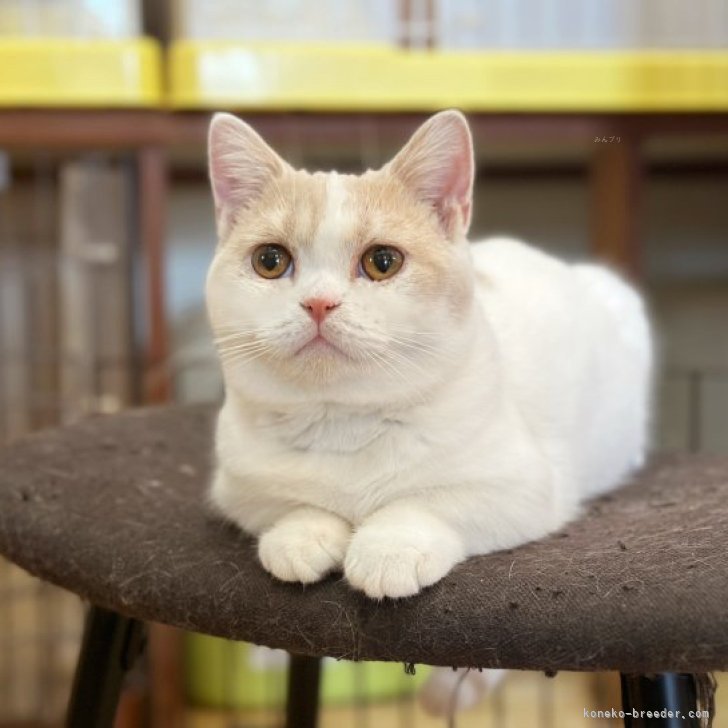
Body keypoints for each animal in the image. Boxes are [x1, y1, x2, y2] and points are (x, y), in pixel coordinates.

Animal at [206, 109, 656, 712]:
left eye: (382, 262)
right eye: (270, 261)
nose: (318, 303)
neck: (345, 422)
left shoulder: (525, 486)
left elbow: (428, 501)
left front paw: (389, 545)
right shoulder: (235, 486)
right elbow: (288, 504)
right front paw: (302, 535)